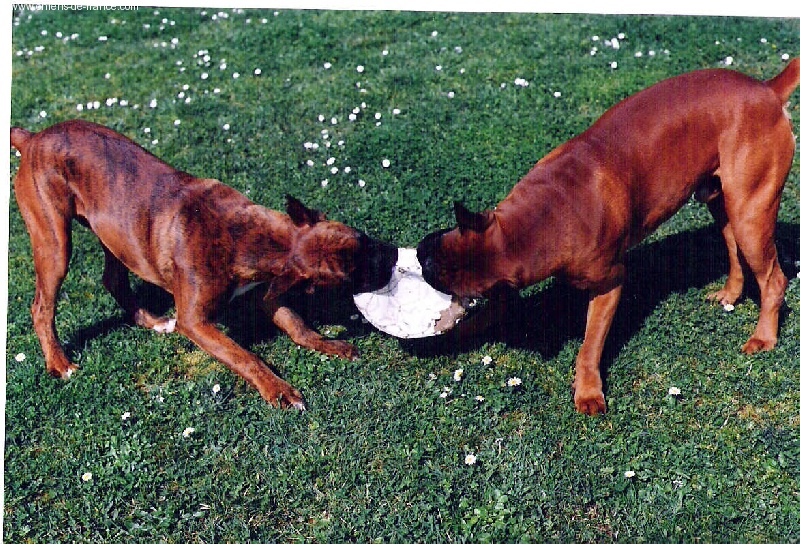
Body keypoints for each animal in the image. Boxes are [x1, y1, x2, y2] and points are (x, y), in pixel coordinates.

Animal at [10, 119, 397, 410]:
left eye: (362, 238)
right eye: (352, 276)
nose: (393, 255)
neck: (251, 236)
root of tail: (33, 138)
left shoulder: (270, 292)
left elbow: (298, 326)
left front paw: (328, 344)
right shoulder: (196, 323)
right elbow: (245, 356)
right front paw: (278, 389)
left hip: (116, 235)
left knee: (113, 280)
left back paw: (152, 322)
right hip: (55, 246)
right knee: (41, 307)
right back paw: (60, 364)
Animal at [418, 59, 800, 415]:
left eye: (442, 268)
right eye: (440, 242)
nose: (421, 255)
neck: (549, 211)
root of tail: (766, 89)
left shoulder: (608, 285)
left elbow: (589, 347)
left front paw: (588, 391)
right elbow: (483, 317)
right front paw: (442, 341)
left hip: (751, 214)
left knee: (774, 280)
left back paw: (764, 336)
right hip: (725, 205)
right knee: (733, 249)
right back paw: (730, 295)